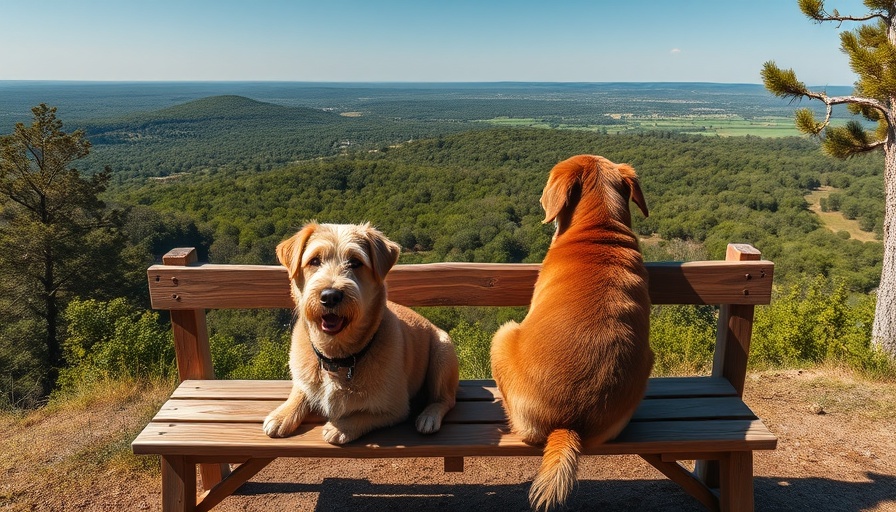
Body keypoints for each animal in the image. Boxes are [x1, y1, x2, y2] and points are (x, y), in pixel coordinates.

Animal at [262, 222, 458, 442]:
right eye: (314, 260)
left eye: (355, 262)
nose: (330, 296)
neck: (336, 358)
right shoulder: (304, 379)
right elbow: (300, 391)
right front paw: (283, 415)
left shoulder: (394, 409)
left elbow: (365, 414)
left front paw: (340, 427)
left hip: (443, 352)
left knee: (446, 399)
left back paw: (429, 416)